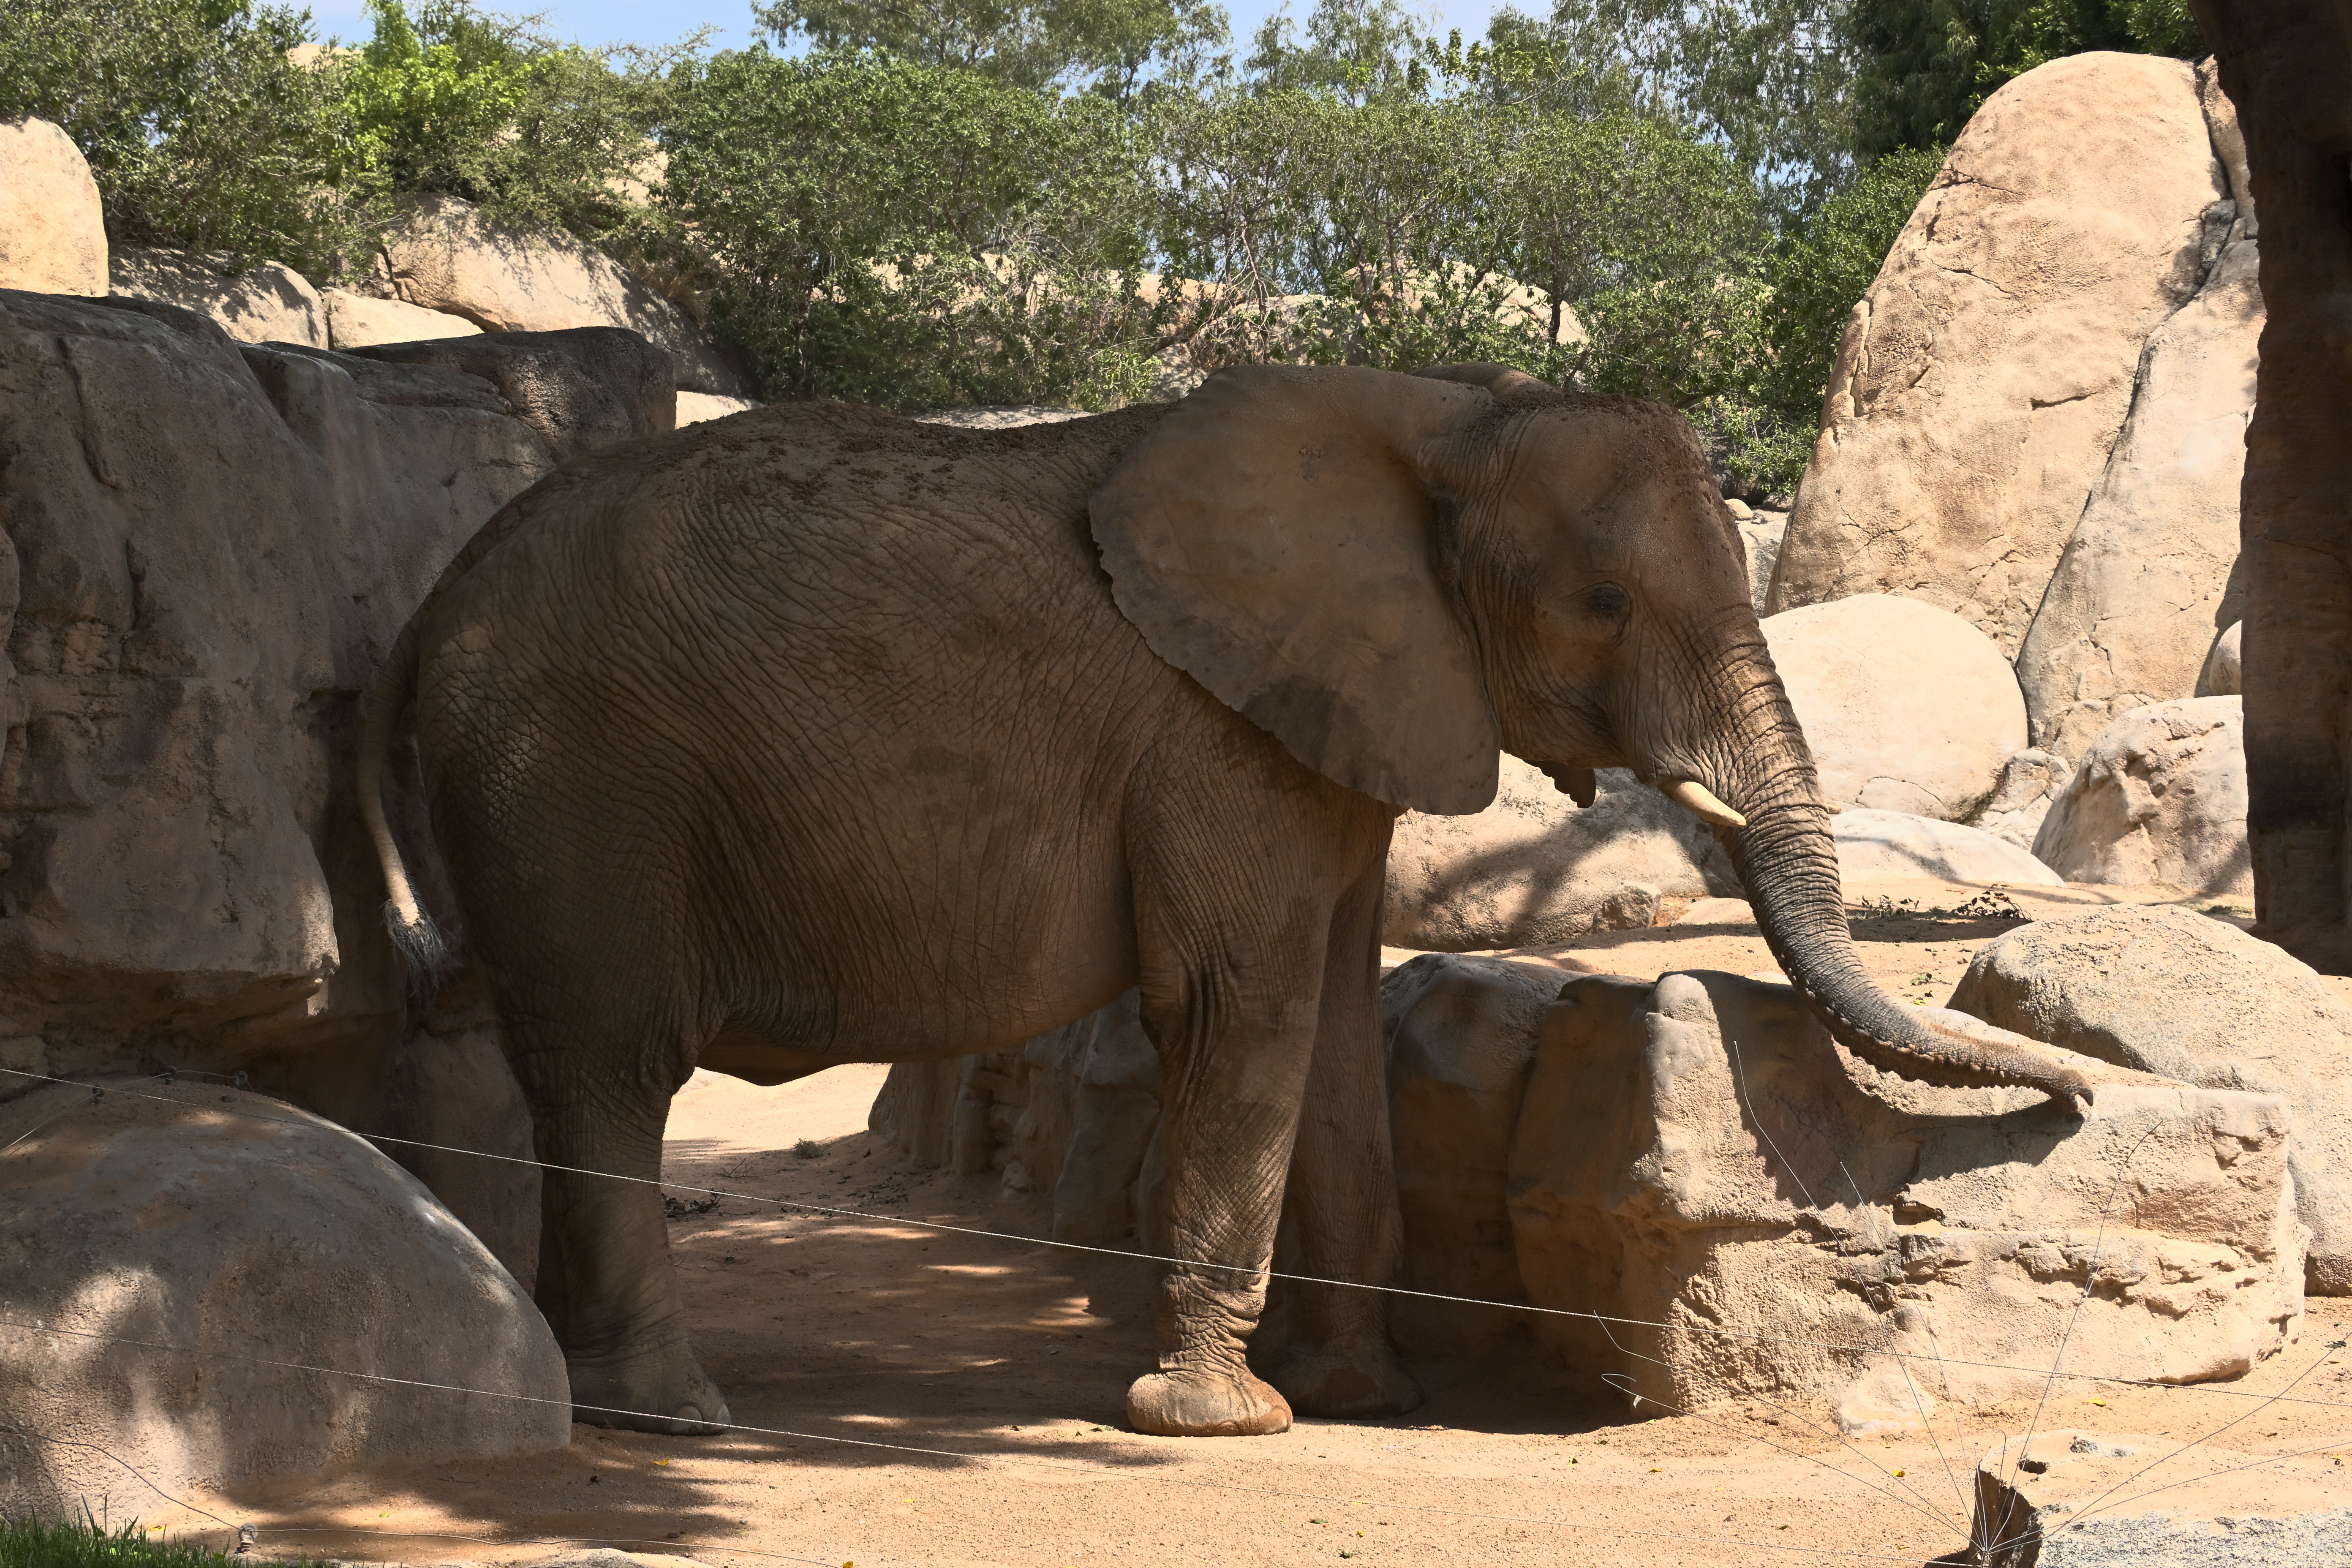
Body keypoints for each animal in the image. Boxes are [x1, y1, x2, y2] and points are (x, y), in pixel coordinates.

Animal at [356, 361, 2089, 1440]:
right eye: (1600, 604)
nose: (2069, 1096)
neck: (1438, 415)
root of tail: (424, 610)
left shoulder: (1338, 710)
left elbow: (1326, 1005)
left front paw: (1363, 1398)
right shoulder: (1211, 725)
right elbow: (1237, 1004)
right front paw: (1221, 1419)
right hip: (571, 787)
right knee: (611, 1065)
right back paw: (670, 1414)